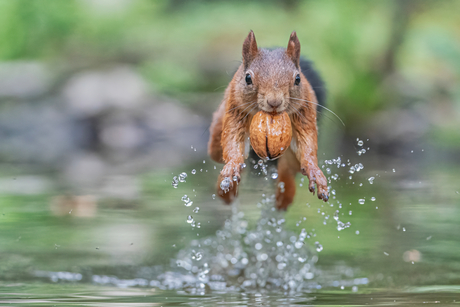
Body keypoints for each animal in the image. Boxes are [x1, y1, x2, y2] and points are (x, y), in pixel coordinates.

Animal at [207, 31, 328, 211]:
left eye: (298, 79)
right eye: (247, 78)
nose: (274, 102)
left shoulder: (304, 112)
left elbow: (307, 145)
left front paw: (315, 172)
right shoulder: (235, 110)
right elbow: (233, 141)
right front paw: (232, 166)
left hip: (290, 160)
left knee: (286, 170)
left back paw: (283, 195)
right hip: (216, 135)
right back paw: (228, 190)